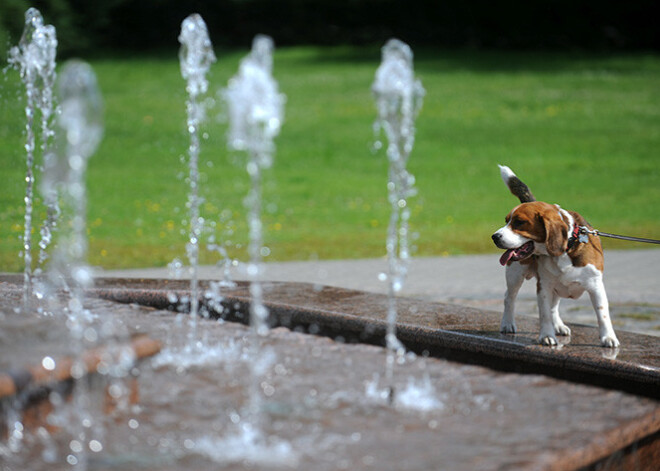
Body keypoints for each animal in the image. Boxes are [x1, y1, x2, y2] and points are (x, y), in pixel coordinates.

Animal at [490, 165, 620, 346]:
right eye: (506, 221)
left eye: (519, 222)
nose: (494, 237)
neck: (566, 249)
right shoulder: (544, 286)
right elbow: (544, 314)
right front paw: (546, 336)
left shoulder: (596, 286)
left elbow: (603, 314)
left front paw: (608, 337)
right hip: (515, 274)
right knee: (509, 298)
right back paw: (507, 323)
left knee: (553, 306)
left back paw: (558, 325)